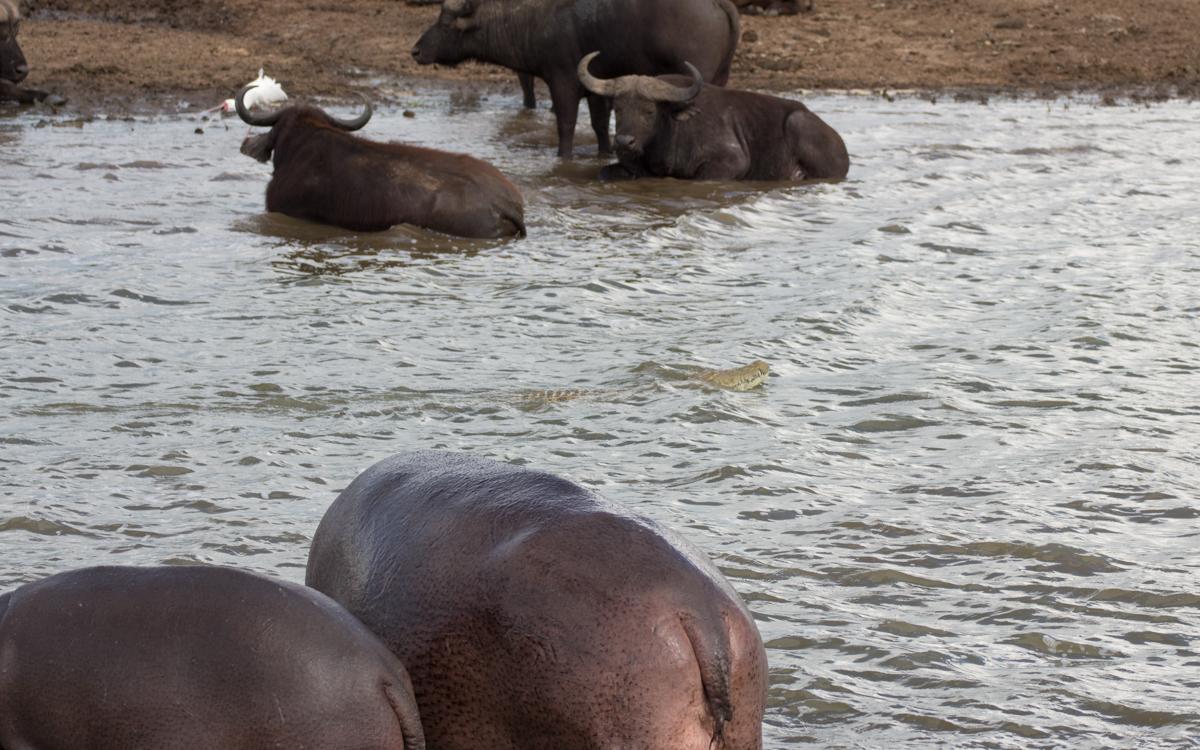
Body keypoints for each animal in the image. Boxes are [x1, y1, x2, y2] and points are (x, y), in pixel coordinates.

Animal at [412, 0, 739, 158]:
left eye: (445, 23)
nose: (415, 50)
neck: (533, 18)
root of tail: (717, 4)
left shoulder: (563, 82)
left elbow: (566, 125)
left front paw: (563, 158)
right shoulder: (597, 87)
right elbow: (600, 126)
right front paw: (604, 153)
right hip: (721, 76)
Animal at [579, 53, 849, 181]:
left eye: (649, 111)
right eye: (618, 108)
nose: (624, 142)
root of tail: (839, 144)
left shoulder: (731, 162)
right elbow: (604, 173)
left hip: (797, 123)